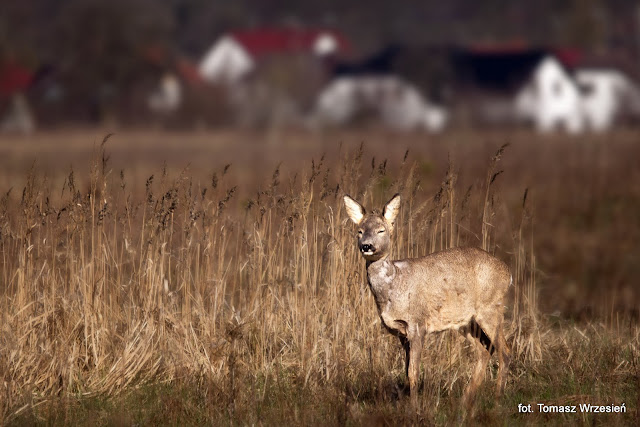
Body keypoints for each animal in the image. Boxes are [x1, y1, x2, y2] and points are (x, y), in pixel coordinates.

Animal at [342, 193, 512, 408]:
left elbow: (414, 373)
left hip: (491, 308)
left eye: (381, 230)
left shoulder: (417, 324)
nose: (367, 246)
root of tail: (508, 273)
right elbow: (407, 372)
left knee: (504, 351)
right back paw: (466, 400)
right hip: (466, 322)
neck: (394, 287)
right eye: (360, 231)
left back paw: (497, 399)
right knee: (485, 349)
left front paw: (414, 408)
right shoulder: (401, 332)